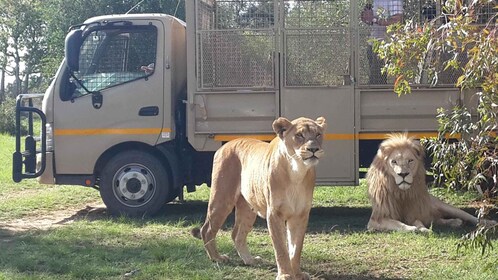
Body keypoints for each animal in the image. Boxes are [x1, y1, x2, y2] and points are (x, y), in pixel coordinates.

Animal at [192, 116, 326, 280]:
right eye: (299, 135)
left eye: (318, 134)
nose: (313, 149)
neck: (297, 171)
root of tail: (225, 146)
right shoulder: (274, 214)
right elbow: (281, 248)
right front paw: (285, 275)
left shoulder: (300, 215)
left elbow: (296, 247)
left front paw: (297, 273)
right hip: (222, 198)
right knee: (207, 229)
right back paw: (217, 258)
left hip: (248, 209)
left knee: (237, 234)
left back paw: (249, 260)